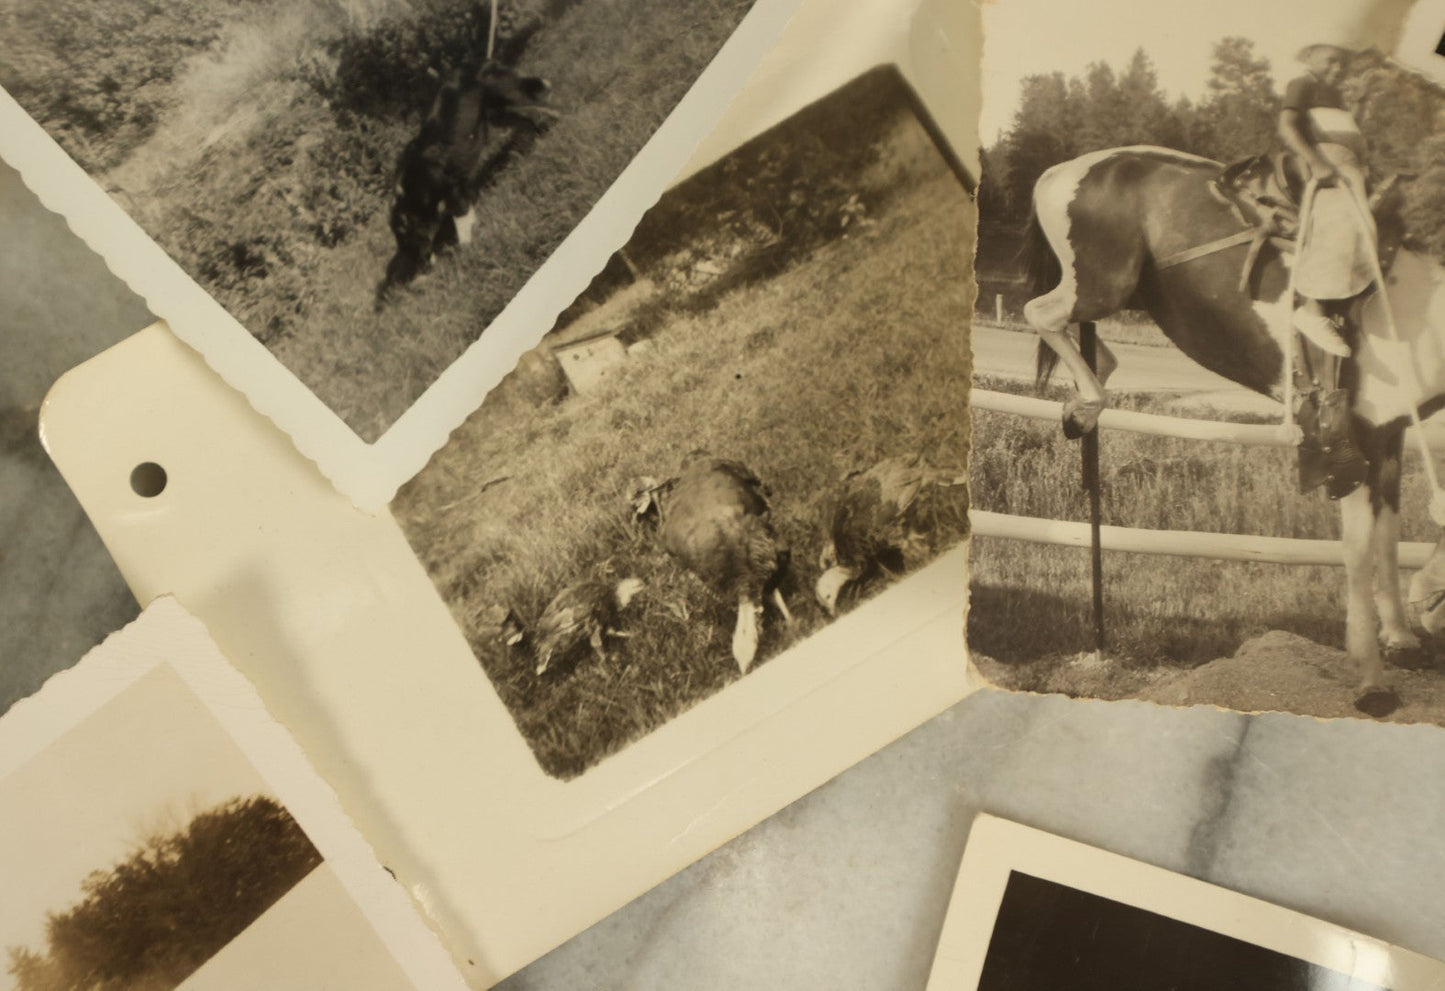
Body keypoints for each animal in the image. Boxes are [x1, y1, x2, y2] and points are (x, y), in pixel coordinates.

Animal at [375, 58, 549, 304]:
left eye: (402, 236)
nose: (418, 264)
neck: (414, 191)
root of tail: (477, 64)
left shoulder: (453, 192)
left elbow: (462, 221)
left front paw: (468, 247)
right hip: (498, 114)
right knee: (527, 119)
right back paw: (535, 140)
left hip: (508, 98)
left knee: (538, 100)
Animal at [1017, 145, 1445, 713]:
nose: (1430, 608)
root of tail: (1065, 169)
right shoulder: (1354, 449)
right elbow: (1358, 556)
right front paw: (1371, 682)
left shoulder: (1390, 439)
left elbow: (1389, 540)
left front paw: (1401, 640)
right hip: (1098, 288)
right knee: (1040, 313)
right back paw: (1086, 403)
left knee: (1089, 345)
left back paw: (1081, 406)